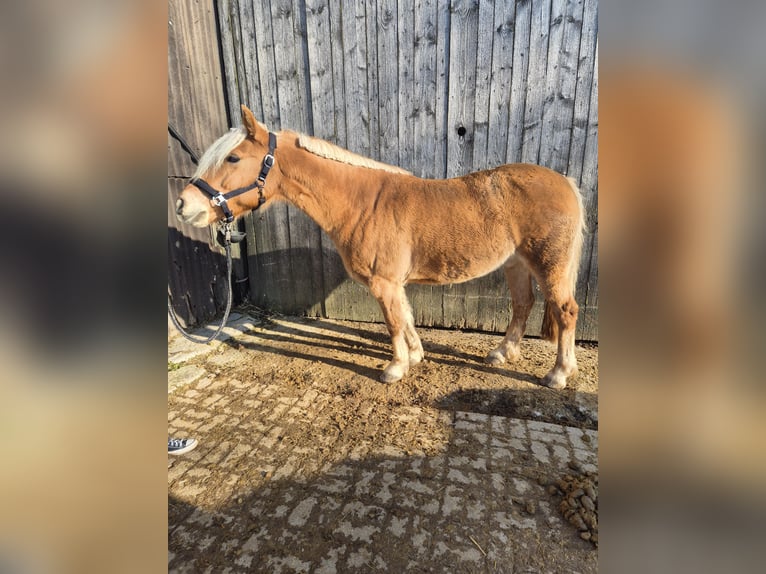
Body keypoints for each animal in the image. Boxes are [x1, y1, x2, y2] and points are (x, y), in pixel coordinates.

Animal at [177, 106, 584, 390]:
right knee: (523, 305)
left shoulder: (383, 282)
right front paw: (416, 355)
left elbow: (392, 322)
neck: (361, 202)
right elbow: (405, 317)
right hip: (516, 263)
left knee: (565, 311)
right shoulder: (393, 282)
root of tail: (565, 181)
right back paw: (502, 353)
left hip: (549, 266)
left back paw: (559, 374)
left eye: (232, 158)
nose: (184, 205)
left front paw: (395, 368)